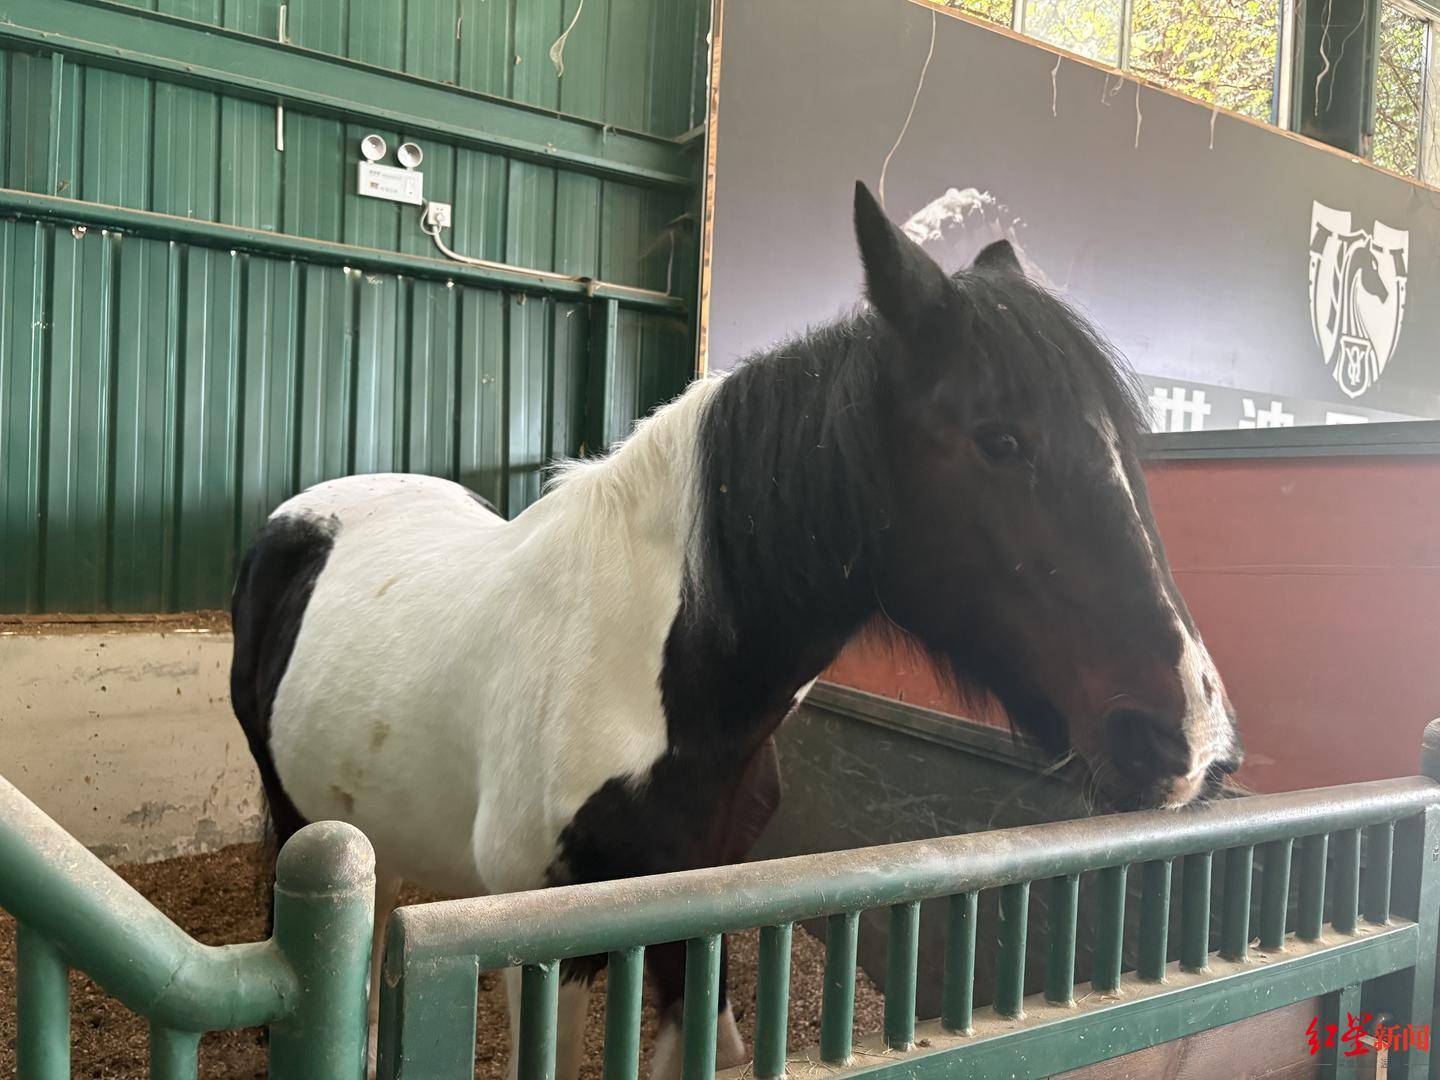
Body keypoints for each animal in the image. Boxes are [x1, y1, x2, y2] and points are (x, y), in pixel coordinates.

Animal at [230, 181, 1241, 1079]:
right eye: (1002, 440)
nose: (1189, 735)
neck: (646, 675)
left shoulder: (695, 914)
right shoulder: (544, 944)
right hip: (297, 816)